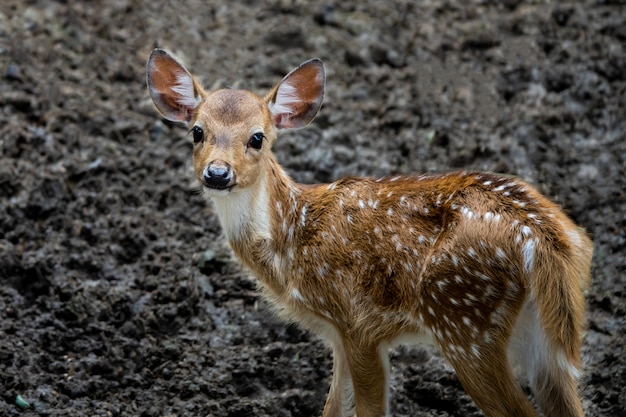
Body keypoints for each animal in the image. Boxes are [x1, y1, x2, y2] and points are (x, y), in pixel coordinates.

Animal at [145, 49, 588, 416]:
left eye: (257, 137)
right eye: (197, 131)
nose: (217, 173)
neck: (292, 241)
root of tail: (544, 238)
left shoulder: (359, 324)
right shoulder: (339, 335)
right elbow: (332, 407)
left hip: (464, 319)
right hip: (545, 338)